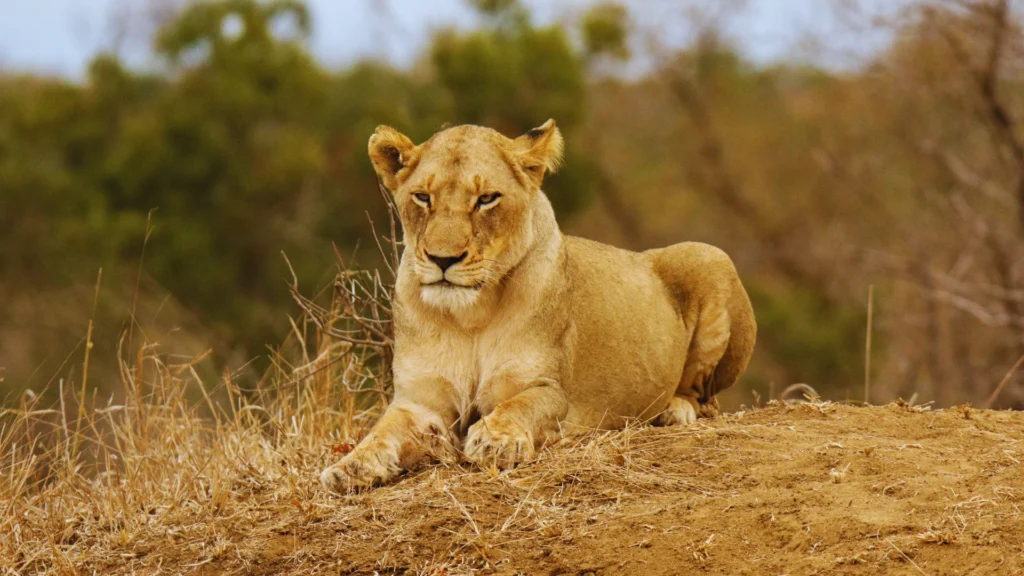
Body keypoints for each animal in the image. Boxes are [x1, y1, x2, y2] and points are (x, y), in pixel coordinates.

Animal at [320, 120, 756, 492]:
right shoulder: (420, 402)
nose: (443, 259)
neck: (469, 315)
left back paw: (671, 411)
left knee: (703, 397)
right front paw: (349, 466)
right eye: (423, 197)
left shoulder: (548, 389)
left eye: (486, 199)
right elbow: (381, 431)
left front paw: (494, 441)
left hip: (709, 256)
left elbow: (520, 406)